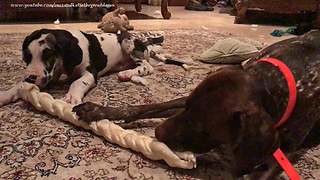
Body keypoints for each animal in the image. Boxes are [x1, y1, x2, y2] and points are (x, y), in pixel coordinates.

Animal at [22, 28, 179, 104]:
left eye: (47, 55)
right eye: (27, 56)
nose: (30, 78)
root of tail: (145, 45)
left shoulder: (90, 73)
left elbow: (78, 82)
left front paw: (72, 96)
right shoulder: (56, 71)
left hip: (127, 42)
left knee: (147, 66)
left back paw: (128, 74)